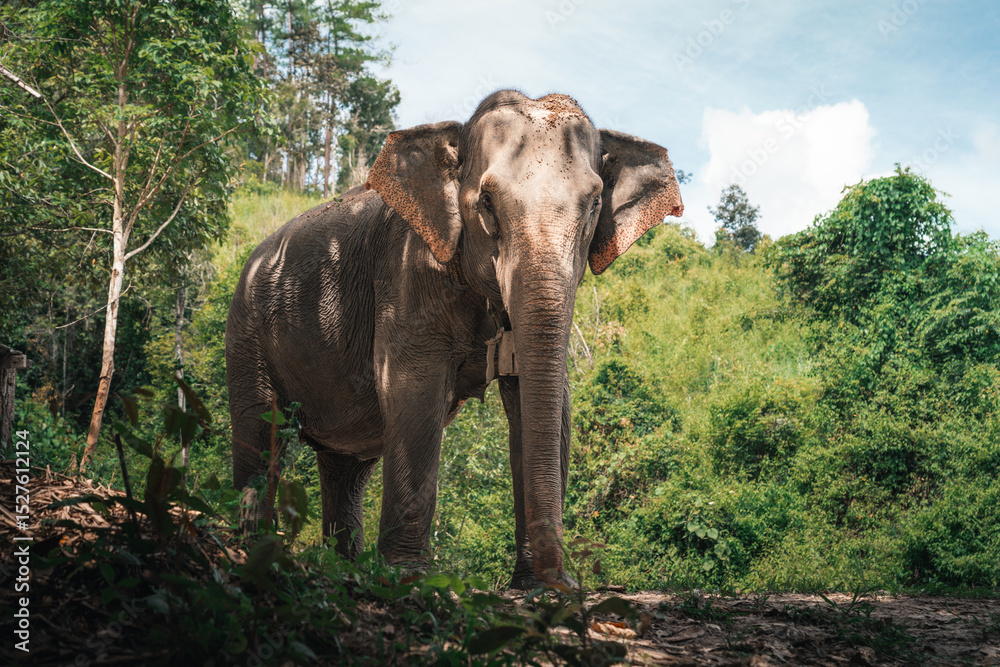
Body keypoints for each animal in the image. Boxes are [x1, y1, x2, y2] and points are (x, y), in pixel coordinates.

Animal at [226, 89, 684, 587]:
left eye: (596, 202)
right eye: (486, 202)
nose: (562, 581)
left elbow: (542, 400)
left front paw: (532, 585)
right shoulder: (408, 272)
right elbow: (413, 392)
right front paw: (407, 578)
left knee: (345, 469)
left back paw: (342, 570)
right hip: (246, 334)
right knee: (259, 435)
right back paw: (252, 556)